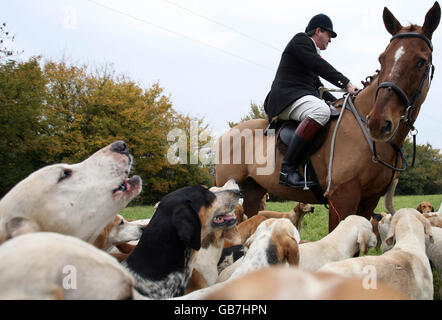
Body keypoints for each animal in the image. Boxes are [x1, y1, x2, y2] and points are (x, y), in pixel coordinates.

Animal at [213, 3, 438, 232]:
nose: (377, 123)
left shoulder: (370, 198)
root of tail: (227, 133)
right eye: (382, 59)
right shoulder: (342, 195)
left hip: (254, 191)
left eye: (421, 62)